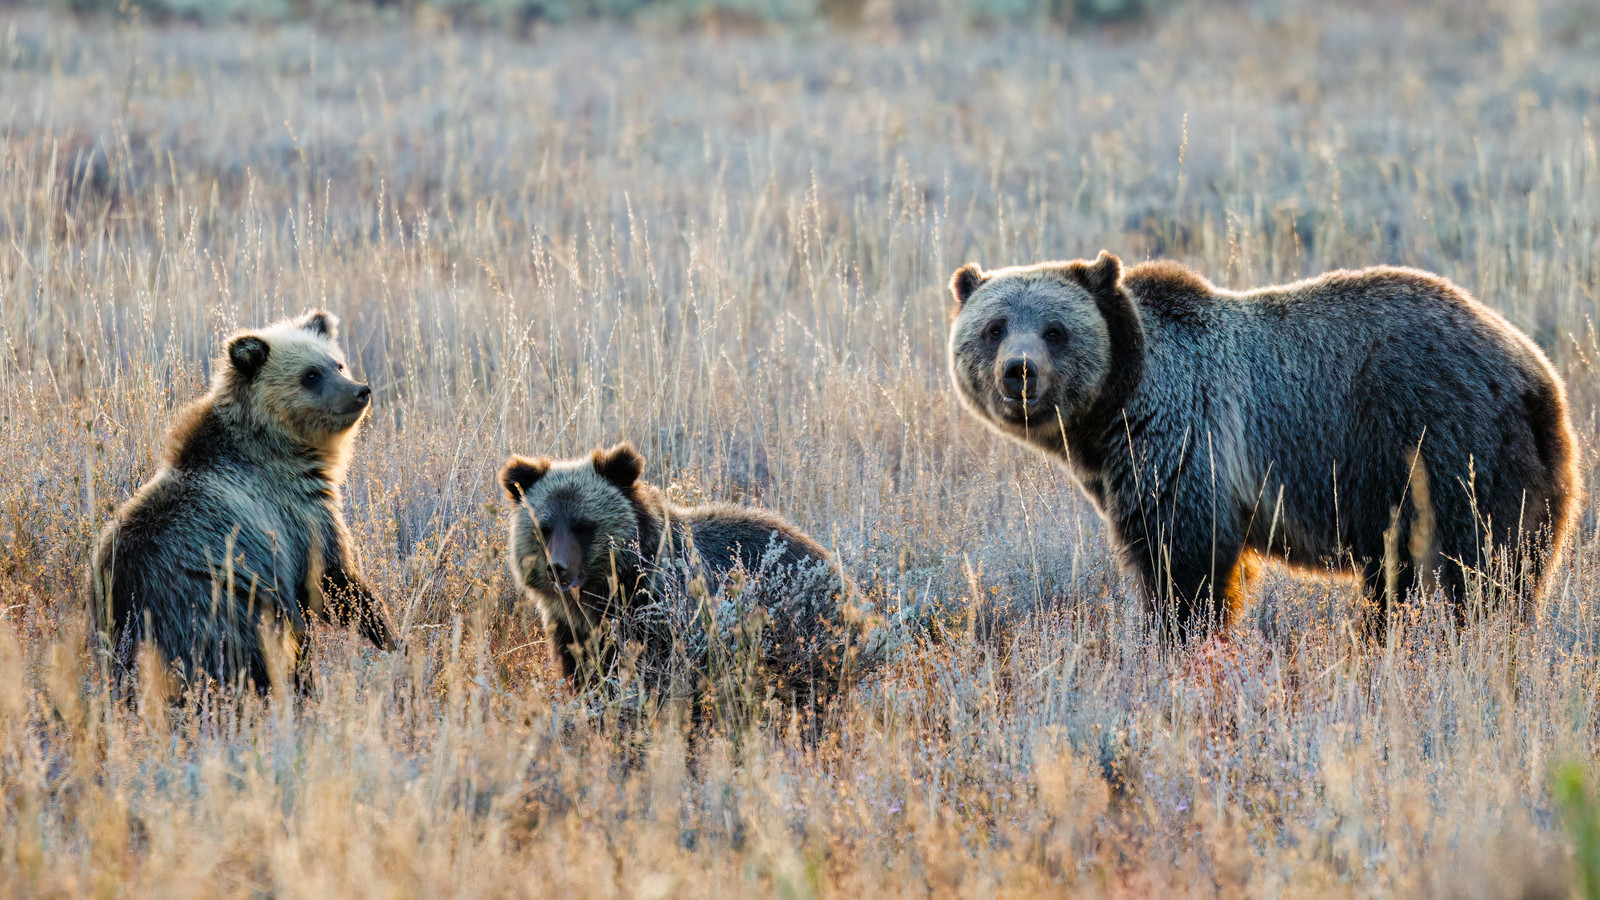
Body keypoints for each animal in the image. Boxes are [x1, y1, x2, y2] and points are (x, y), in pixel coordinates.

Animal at [90, 309, 398, 690]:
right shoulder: (298, 514)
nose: (360, 390)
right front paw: (392, 635)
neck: (277, 446)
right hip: (219, 602)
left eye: (337, 364)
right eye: (310, 375)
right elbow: (333, 581)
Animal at [500, 442, 870, 709]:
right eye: (544, 527)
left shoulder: (661, 620)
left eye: (582, 525)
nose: (558, 567)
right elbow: (585, 677)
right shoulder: (572, 632)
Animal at [947, 251, 1579, 639]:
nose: (1020, 372)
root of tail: (1539, 376)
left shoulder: (1187, 439)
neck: (1117, 408)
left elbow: (1186, 565)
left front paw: (1177, 639)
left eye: (1055, 330)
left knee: (1485, 572)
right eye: (994, 327)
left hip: (1447, 447)